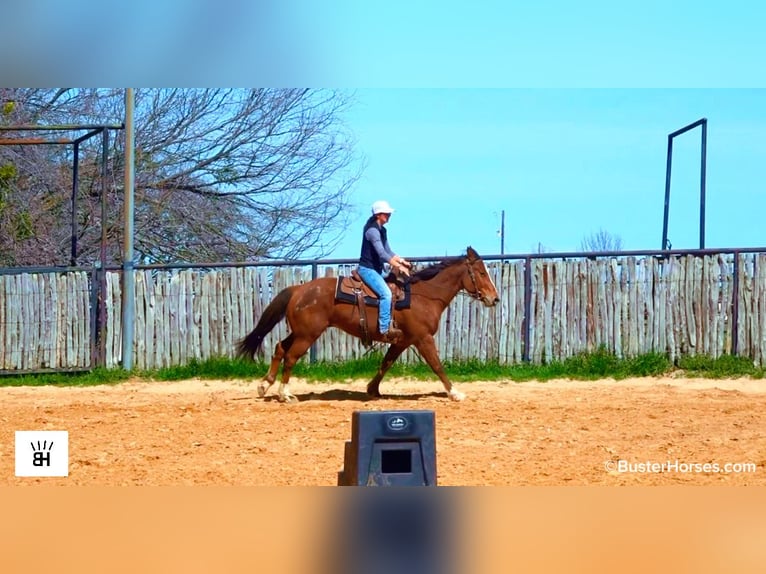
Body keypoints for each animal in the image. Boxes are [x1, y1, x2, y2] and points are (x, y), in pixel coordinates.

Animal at [236, 246, 500, 402]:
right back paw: (285, 394)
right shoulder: (423, 338)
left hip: (300, 332)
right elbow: (437, 365)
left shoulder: (403, 340)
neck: (423, 295)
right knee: (290, 356)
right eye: (481, 273)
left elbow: (386, 363)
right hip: (307, 335)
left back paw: (265, 386)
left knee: (280, 348)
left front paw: (372, 390)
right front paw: (455, 392)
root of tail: (298, 289)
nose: (494, 298)